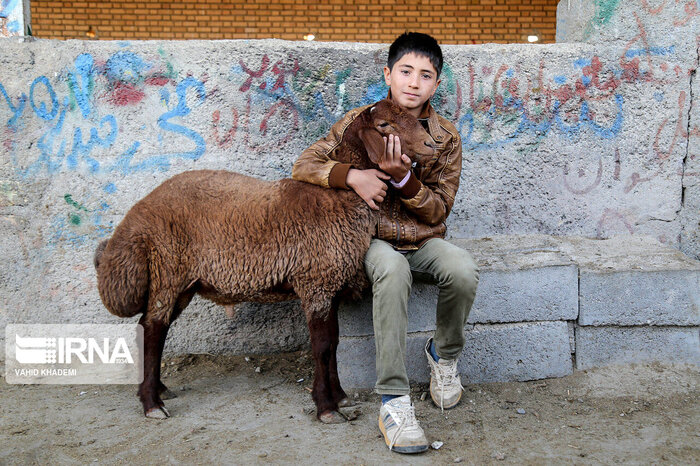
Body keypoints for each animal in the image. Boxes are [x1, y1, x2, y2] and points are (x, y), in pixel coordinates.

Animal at [91, 98, 434, 422]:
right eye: (384, 124)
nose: (431, 144)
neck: (337, 198)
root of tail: (137, 216)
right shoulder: (315, 282)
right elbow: (322, 347)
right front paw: (326, 407)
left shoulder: (330, 284)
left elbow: (334, 342)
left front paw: (339, 397)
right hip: (168, 269)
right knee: (153, 328)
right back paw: (152, 403)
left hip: (183, 283)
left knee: (149, 327)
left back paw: (158, 390)